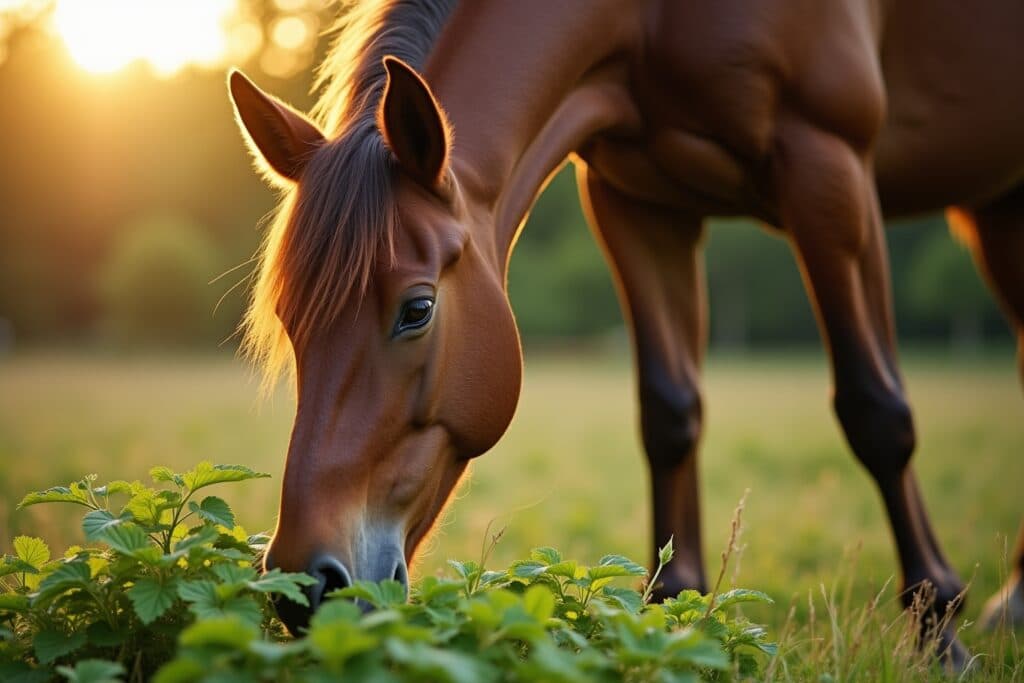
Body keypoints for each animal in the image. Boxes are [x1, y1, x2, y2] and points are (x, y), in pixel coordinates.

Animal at [227, 0, 1024, 664]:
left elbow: (876, 410)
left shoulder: (830, 167)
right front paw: (673, 615)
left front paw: (940, 635)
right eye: (290, 322)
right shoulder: (636, 200)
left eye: (417, 309)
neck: (651, 17)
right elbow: (670, 411)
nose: (305, 582)